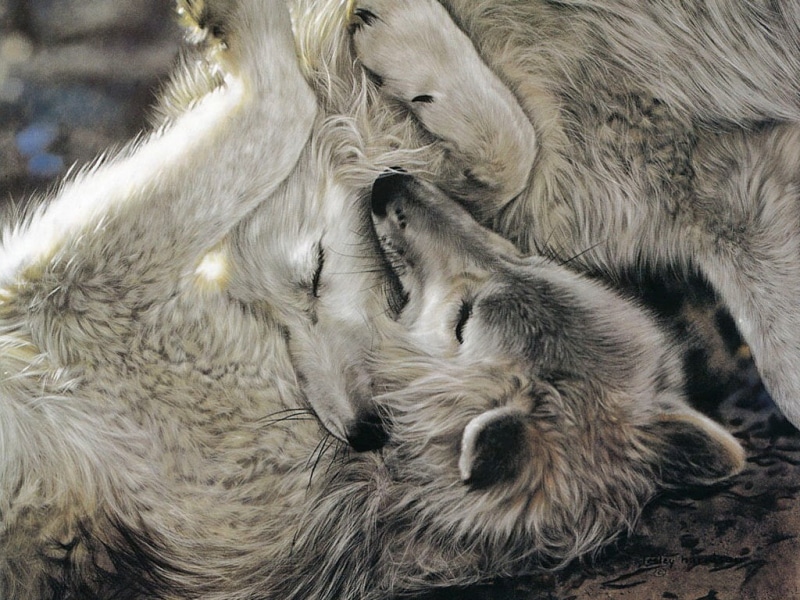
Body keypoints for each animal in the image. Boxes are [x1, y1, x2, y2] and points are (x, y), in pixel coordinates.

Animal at [0, 0, 749, 597]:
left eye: (463, 325)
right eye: (529, 260)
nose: (362, 430)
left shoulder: (71, 283)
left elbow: (283, 100)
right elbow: (511, 145)